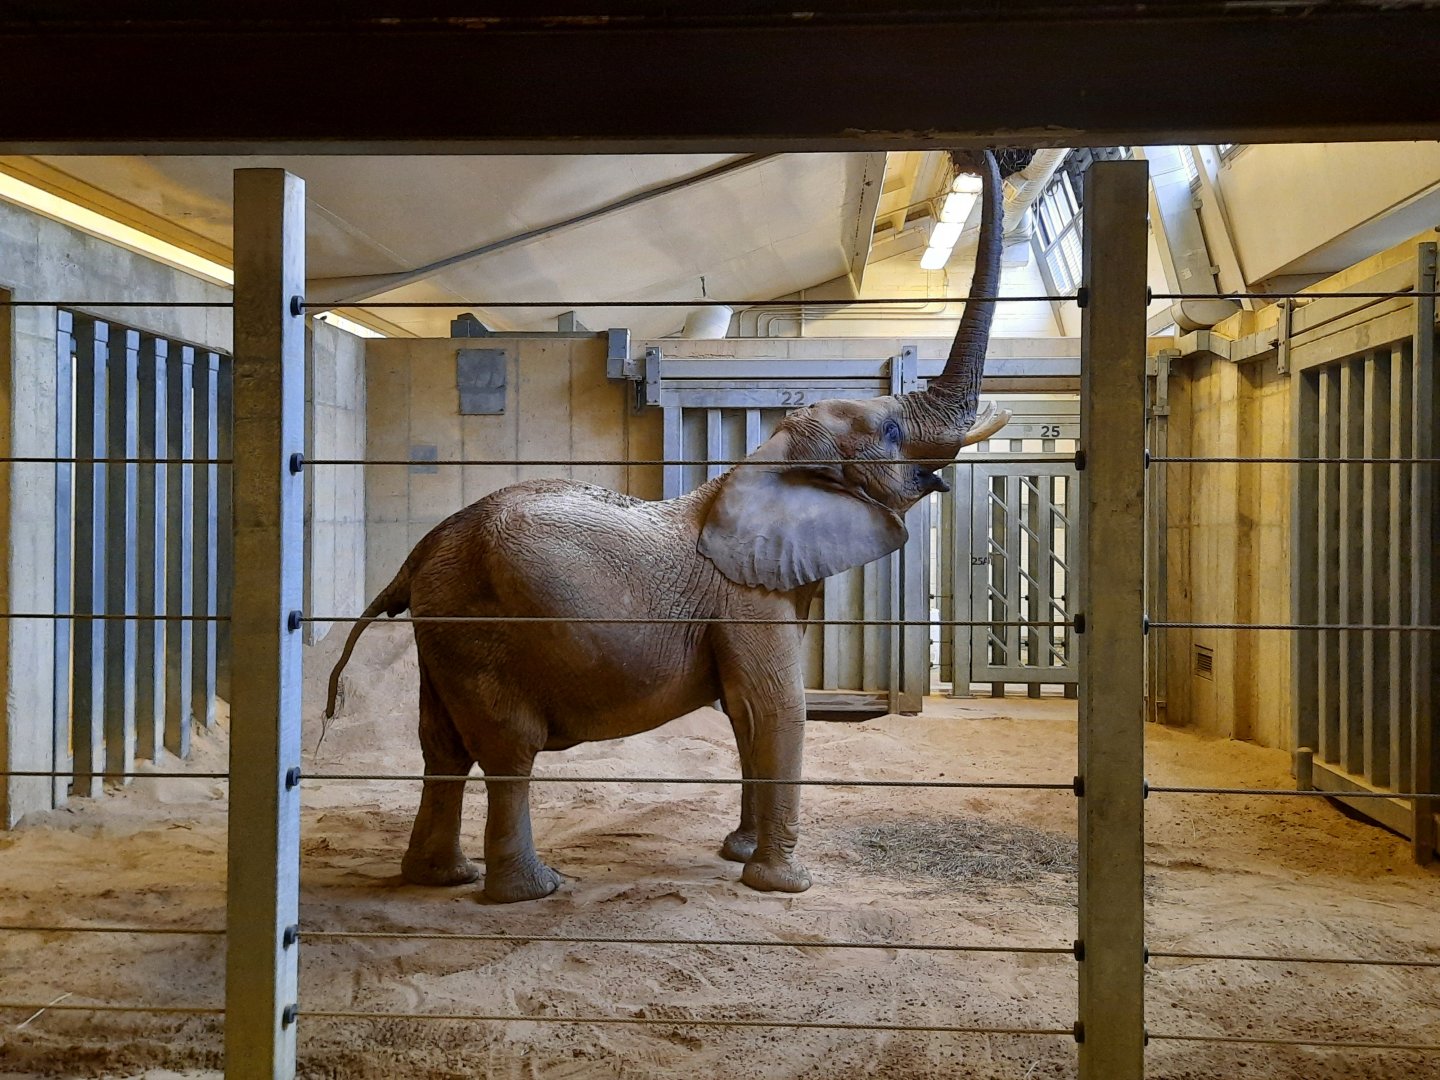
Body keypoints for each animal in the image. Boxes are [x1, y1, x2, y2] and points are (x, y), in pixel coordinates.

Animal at [325, 149, 1011, 903]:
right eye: (889, 431)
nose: (980, 157)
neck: (768, 457)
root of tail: (417, 554)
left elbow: (745, 713)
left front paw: (737, 853)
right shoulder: (746, 599)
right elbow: (776, 709)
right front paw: (785, 886)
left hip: (444, 629)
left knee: (442, 747)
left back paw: (441, 879)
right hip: (479, 631)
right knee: (507, 749)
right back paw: (532, 891)